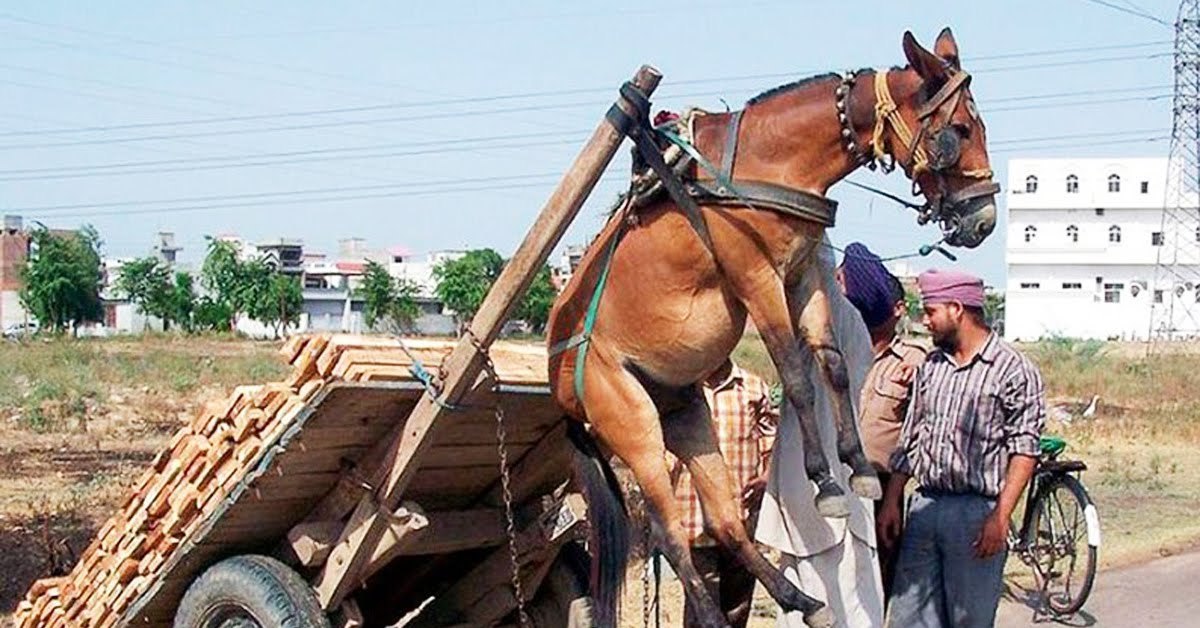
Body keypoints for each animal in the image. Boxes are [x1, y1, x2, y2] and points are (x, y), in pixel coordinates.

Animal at [549, 29, 998, 628]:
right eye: (960, 129)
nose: (983, 220)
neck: (767, 162)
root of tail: (560, 387)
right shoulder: (755, 277)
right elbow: (797, 375)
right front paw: (826, 483)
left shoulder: (803, 273)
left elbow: (832, 365)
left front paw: (858, 466)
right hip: (631, 424)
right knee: (668, 534)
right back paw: (718, 615)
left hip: (684, 415)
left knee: (724, 521)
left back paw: (801, 600)